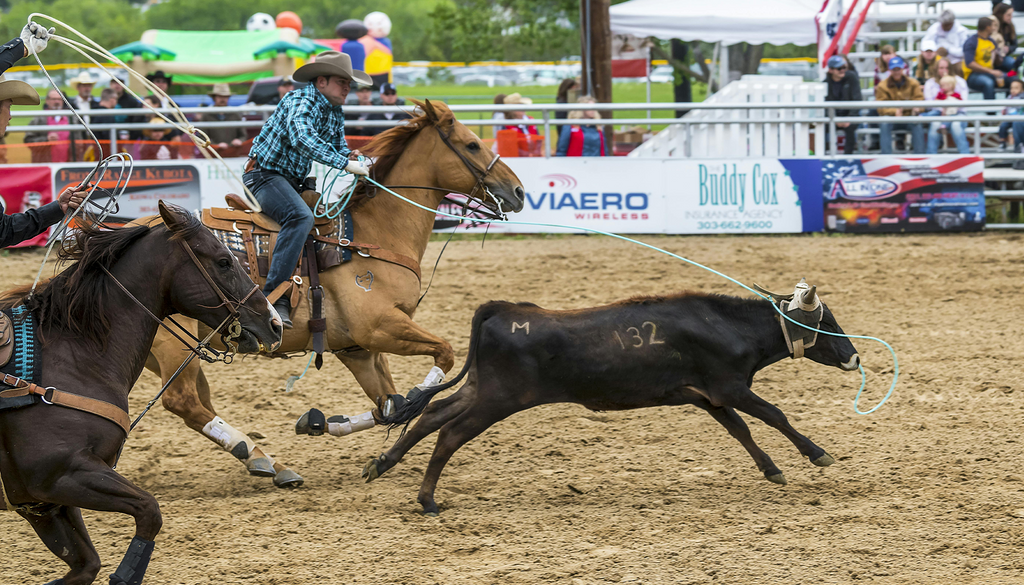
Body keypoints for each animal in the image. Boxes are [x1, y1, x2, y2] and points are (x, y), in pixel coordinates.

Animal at [0, 202, 282, 585]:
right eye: (224, 260)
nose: (275, 325)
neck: (71, 355)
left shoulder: (42, 503)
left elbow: (86, 565)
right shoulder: (62, 473)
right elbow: (150, 510)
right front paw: (124, 575)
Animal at [144, 99, 524, 485]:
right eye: (472, 144)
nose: (518, 192)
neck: (373, 235)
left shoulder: (359, 349)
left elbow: (388, 405)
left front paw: (323, 423)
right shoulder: (379, 328)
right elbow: (441, 357)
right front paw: (417, 395)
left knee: (198, 403)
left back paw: (268, 462)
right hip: (174, 345)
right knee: (183, 400)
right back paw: (255, 454)